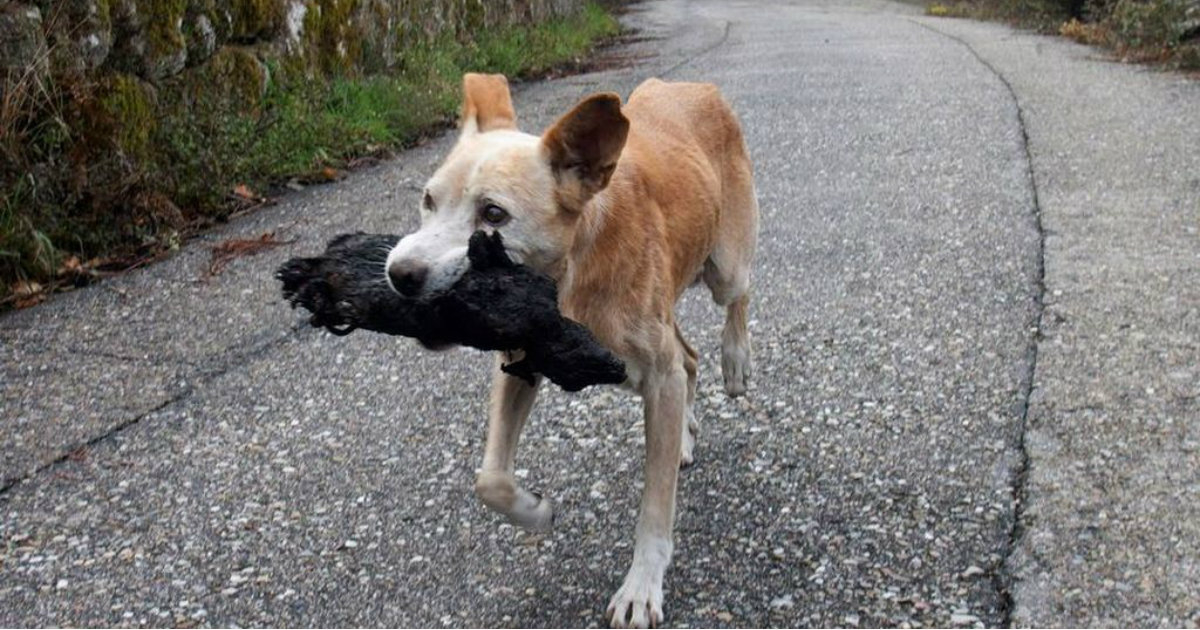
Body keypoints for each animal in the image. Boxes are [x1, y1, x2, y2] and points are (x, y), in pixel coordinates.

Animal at [386, 72, 758, 624]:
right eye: (428, 201)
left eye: (493, 214)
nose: (399, 274)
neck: (571, 275)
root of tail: (690, 85)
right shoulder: (517, 364)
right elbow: (490, 479)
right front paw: (534, 512)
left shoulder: (658, 375)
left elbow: (655, 509)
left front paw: (641, 587)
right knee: (689, 361)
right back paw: (685, 438)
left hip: (724, 266)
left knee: (737, 297)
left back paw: (735, 361)